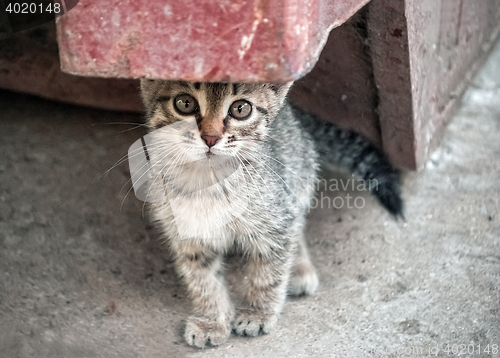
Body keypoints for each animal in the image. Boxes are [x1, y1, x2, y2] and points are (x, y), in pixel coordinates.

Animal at [138, 79, 402, 348]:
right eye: (184, 103)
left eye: (241, 109)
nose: (210, 137)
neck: (208, 180)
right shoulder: (187, 237)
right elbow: (202, 280)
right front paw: (212, 320)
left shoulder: (275, 220)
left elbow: (268, 272)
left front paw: (258, 313)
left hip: (297, 179)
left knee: (297, 225)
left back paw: (299, 268)